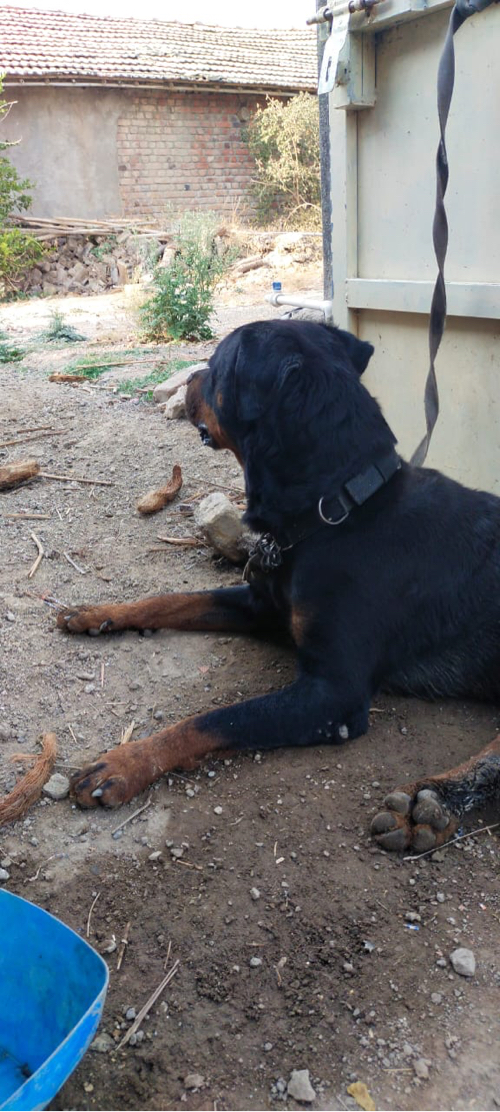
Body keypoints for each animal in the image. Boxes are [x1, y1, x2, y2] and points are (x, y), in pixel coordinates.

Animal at [58, 319, 500, 852]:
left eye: (218, 364)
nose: (190, 379)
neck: (337, 511)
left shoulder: (332, 695)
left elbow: (214, 719)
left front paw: (127, 762)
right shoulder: (262, 606)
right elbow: (170, 598)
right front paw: (98, 613)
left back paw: (432, 802)